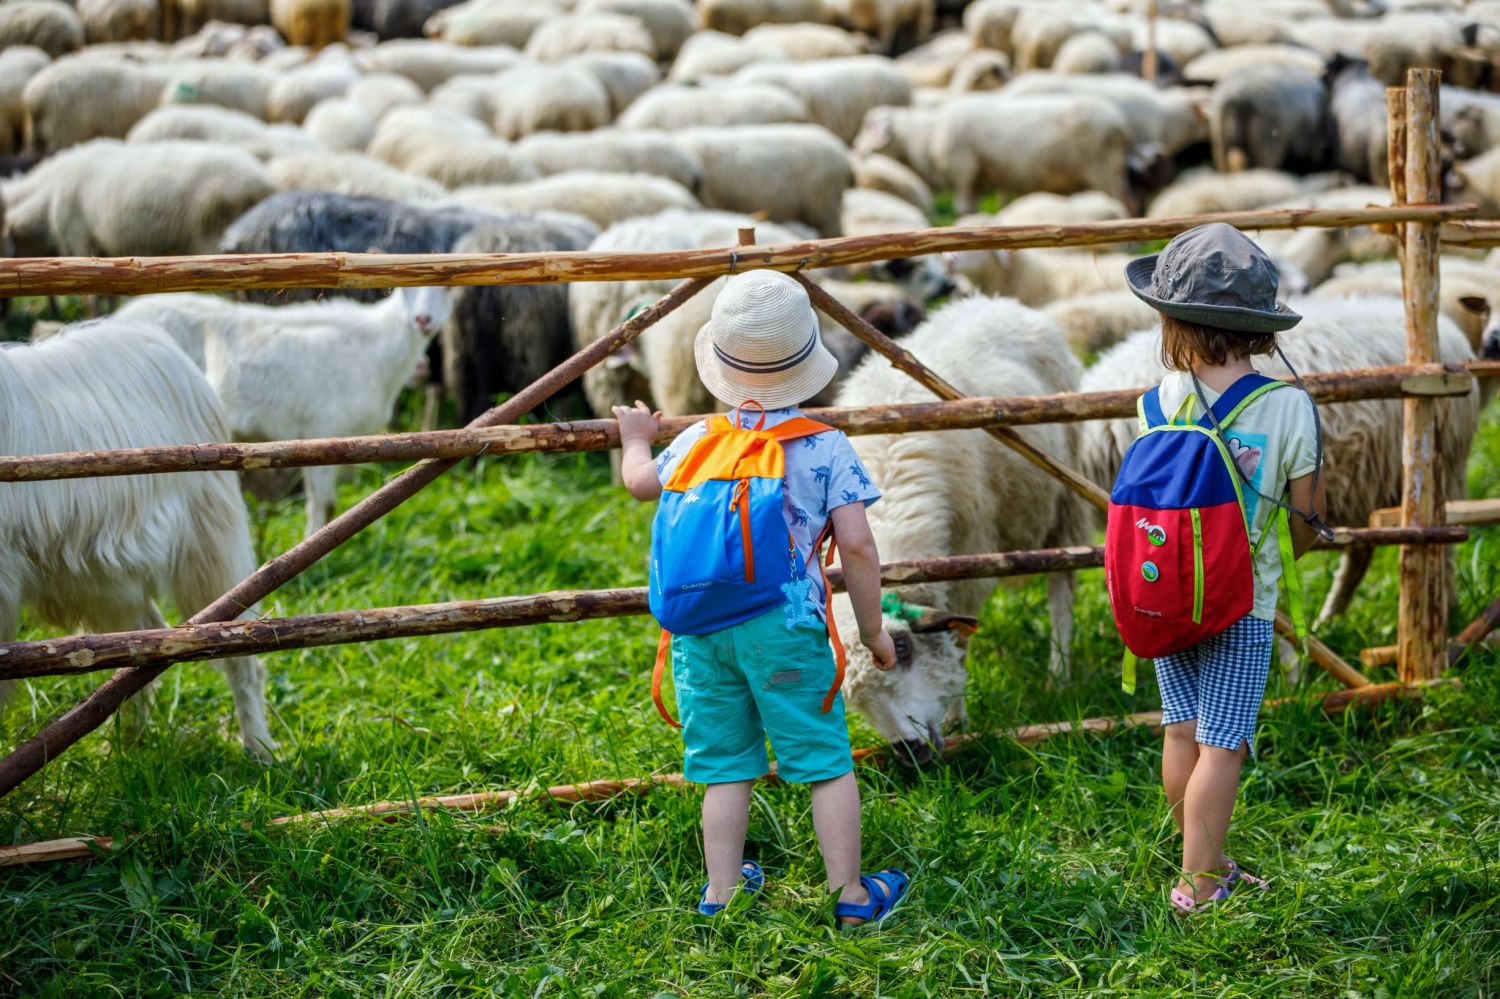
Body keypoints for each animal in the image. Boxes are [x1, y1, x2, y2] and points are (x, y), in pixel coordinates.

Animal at [0, 321, 274, 756]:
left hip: (210, 545)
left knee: (240, 648)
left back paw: (259, 749)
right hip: (103, 577)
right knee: (138, 642)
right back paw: (130, 744)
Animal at [116, 286, 453, 537]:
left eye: (447, 288)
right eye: (404, 291)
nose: (424, 320)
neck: (373, 349)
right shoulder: (323, 430)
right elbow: (324, 503)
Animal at [834, 292, 1092, 759]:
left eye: (902, 648)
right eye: (851, 697)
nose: (908, 753)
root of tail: (998, 302)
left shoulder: (968, 564)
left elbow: (959, 643)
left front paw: (959, 719)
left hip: (1065, 496)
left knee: (1062, 588)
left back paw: (1058, 672)